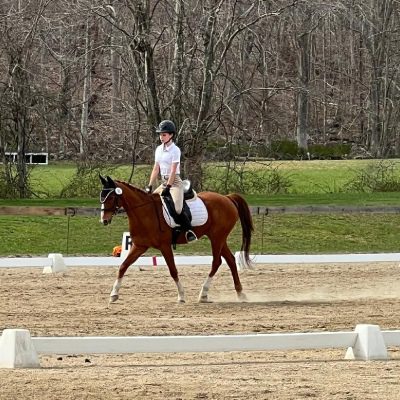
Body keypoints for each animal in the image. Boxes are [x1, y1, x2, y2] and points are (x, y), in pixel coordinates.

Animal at [99, 175, 253, 304]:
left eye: (111, 197)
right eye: (101, 197)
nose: (104, 220)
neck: (145, 212)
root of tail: (227, 197)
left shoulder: (165, 246)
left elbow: (173, 270)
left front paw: (181, 296)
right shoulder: (139, 246)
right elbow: (123, 266)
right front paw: (113, 295)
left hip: (217, 237)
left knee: (217, 262)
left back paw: (203, 294)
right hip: (218, 238)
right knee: (231, 260)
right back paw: (240, 294)